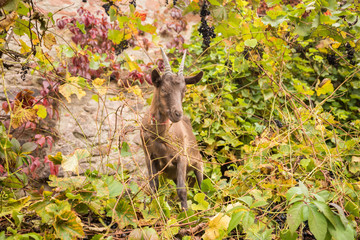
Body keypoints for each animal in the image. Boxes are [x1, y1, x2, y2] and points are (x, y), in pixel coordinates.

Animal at [140, 48, 202, 210]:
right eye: (163, 89)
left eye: (184, 90)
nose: (177, 113)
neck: (161, 135)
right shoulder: (149, 157)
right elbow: (153, 187)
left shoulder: (181, 157)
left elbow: (182, 190)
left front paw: (186, 214)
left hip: (199, 163)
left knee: (203, 188)